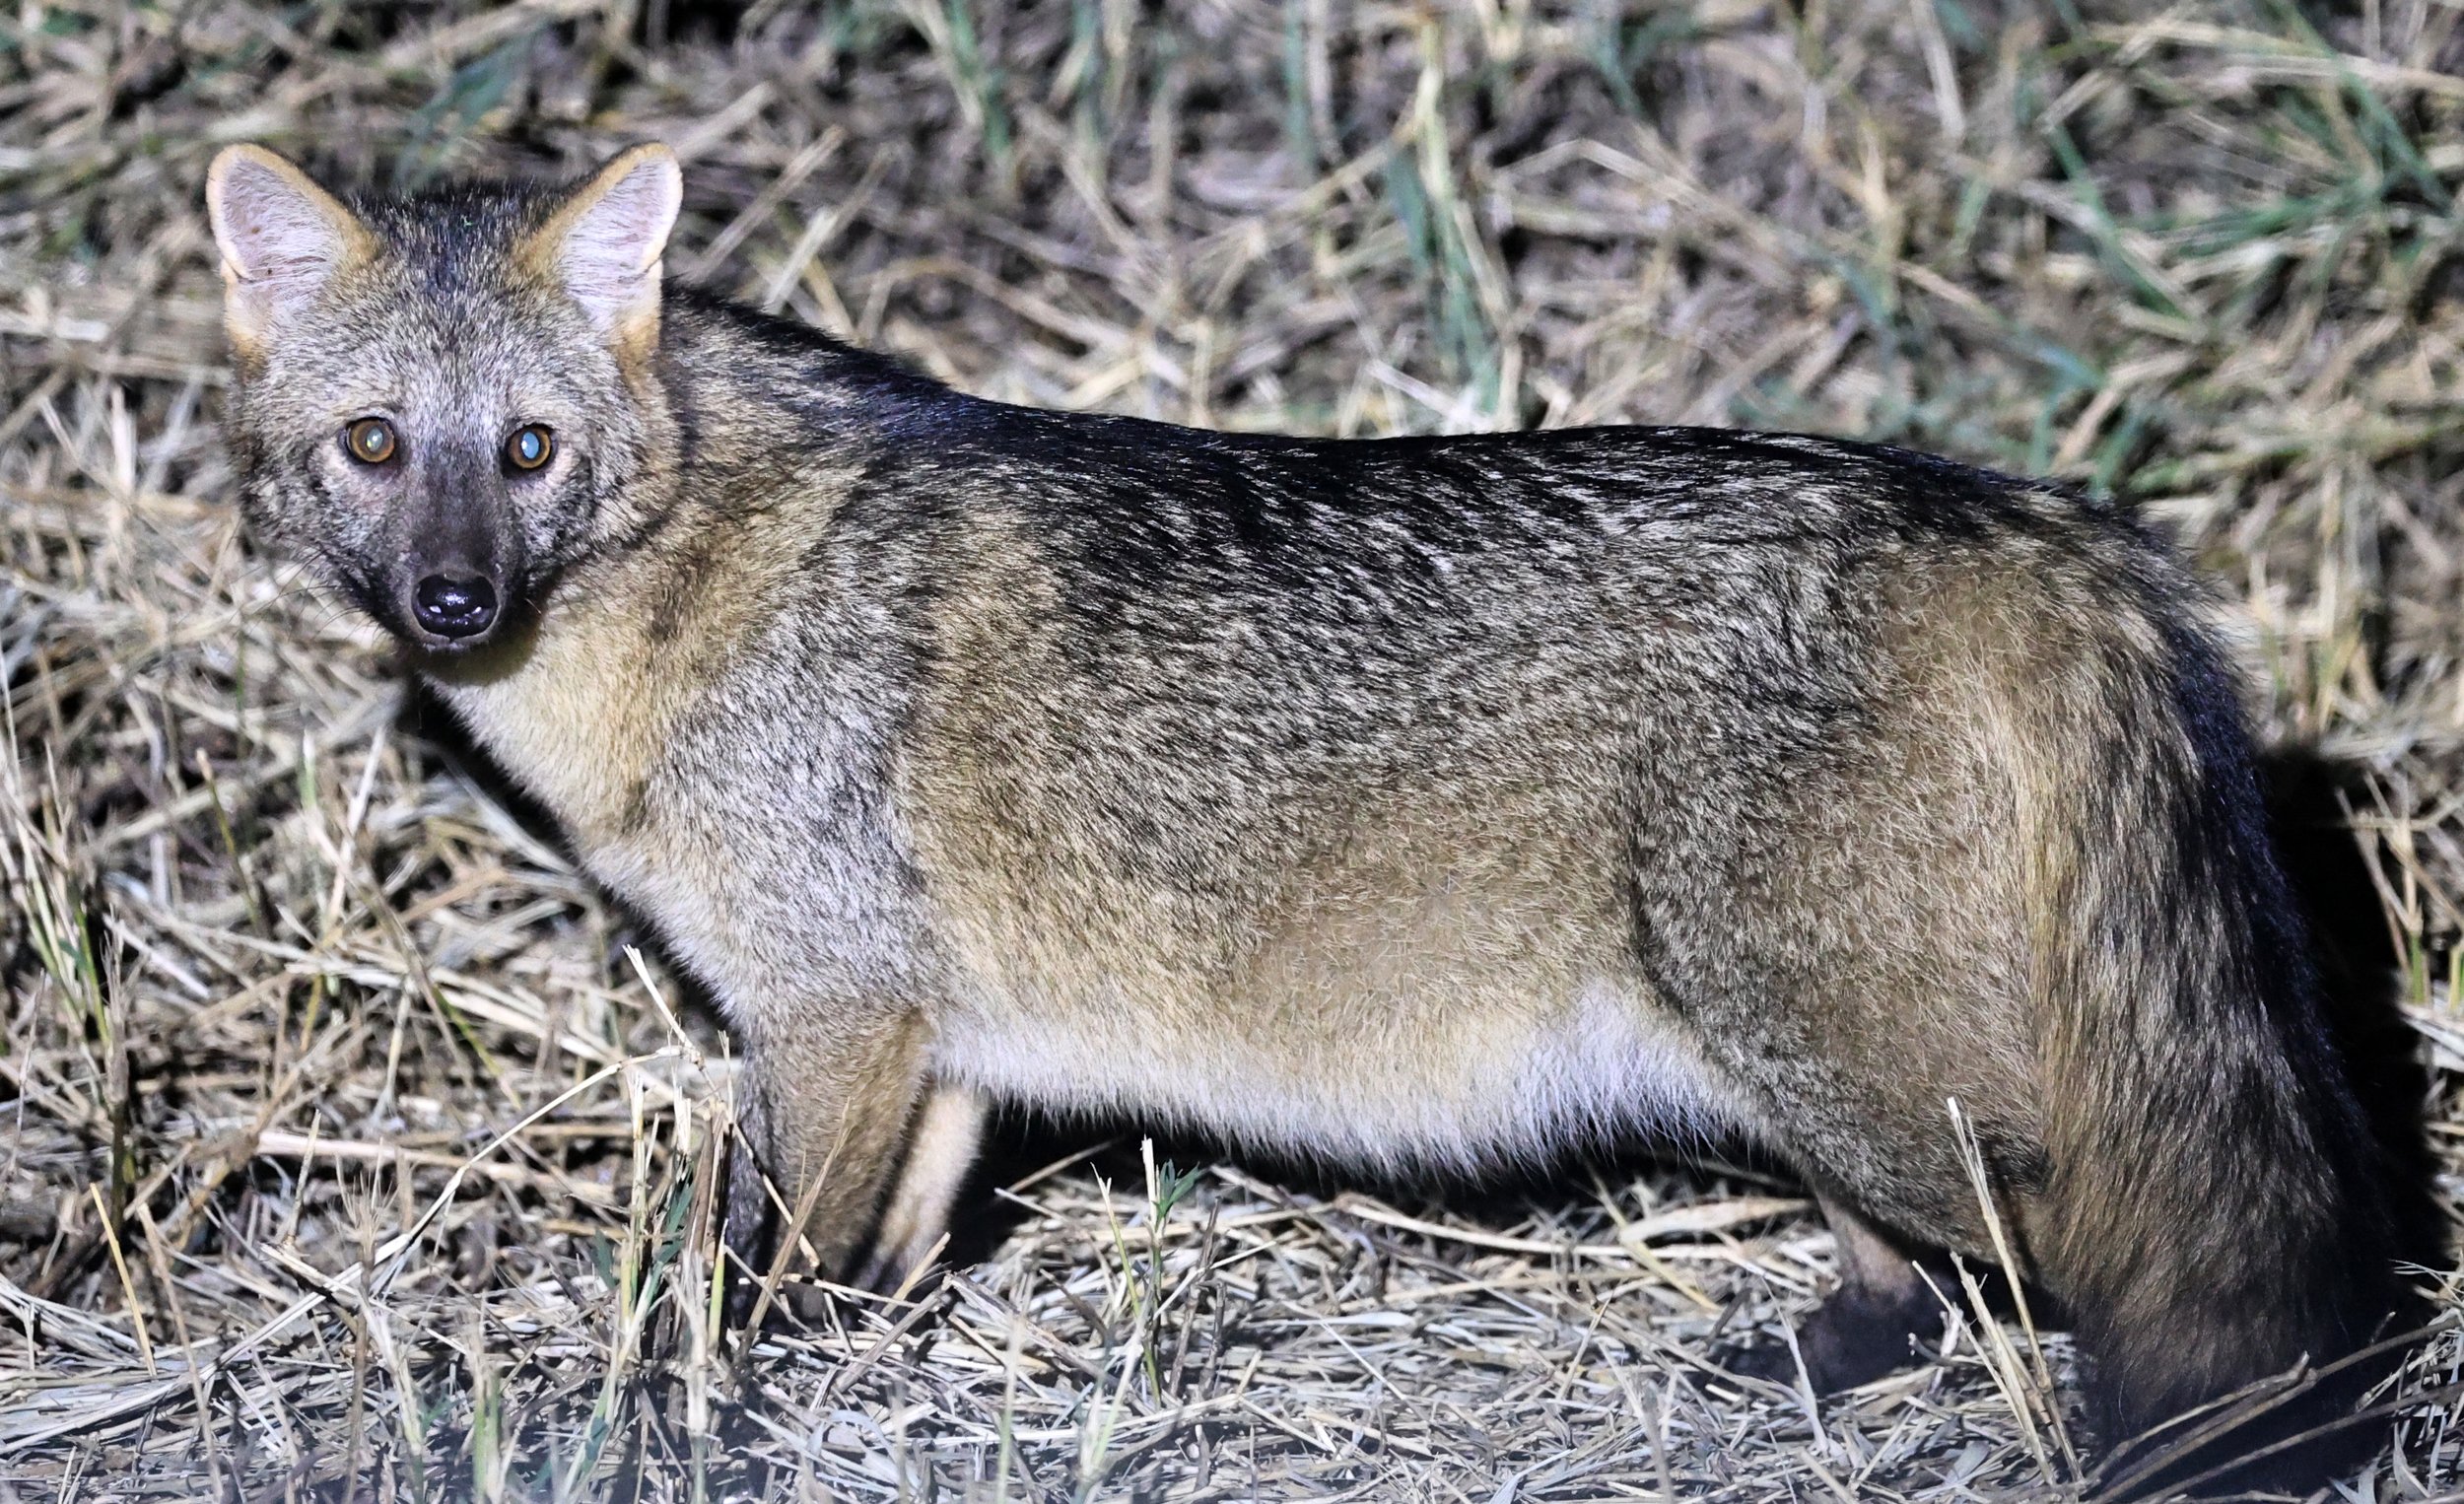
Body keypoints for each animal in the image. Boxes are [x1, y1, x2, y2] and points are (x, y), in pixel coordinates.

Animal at [206, 140, 2419, 1492]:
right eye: (377, 447)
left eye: (527, 453)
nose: (451, 604)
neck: (690, 598)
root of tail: (2025, 517)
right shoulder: (932, 1058)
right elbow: (874, 1267)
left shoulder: (827, 1024)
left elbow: (728, 1281)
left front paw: (680, 1416)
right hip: (1813, 1079)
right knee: (1914, 1273)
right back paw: (1801, 1364)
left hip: (1882, 1084)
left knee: (2120, 1267)